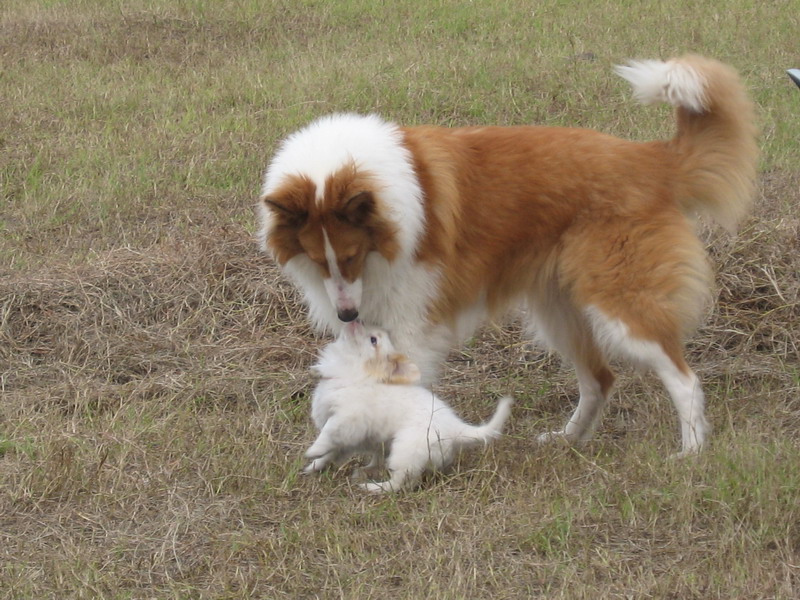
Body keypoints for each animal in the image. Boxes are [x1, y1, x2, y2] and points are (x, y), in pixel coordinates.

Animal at [256, 56, 756, 454]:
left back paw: (691, 453)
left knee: (684, 380)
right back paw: (568, 440)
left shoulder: (408, 324)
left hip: (620, 302)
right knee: (600, 378)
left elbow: (402, 392)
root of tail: (651, 159)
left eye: (352, 255)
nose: (346, 315)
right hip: (560, 311)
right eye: (318, 260)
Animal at [306, 322, 512, 494]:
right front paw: (314, 466)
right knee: (381, 463)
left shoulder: (346, 419)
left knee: (400, 482)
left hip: (404, 451)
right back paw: (366, 471)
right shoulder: (347, 439)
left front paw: (312, 451)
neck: (353, 374)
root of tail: (456, 429)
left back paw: (374, 488)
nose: (355, 320)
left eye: (373, 340)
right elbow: (331, 452)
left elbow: (326, 434)